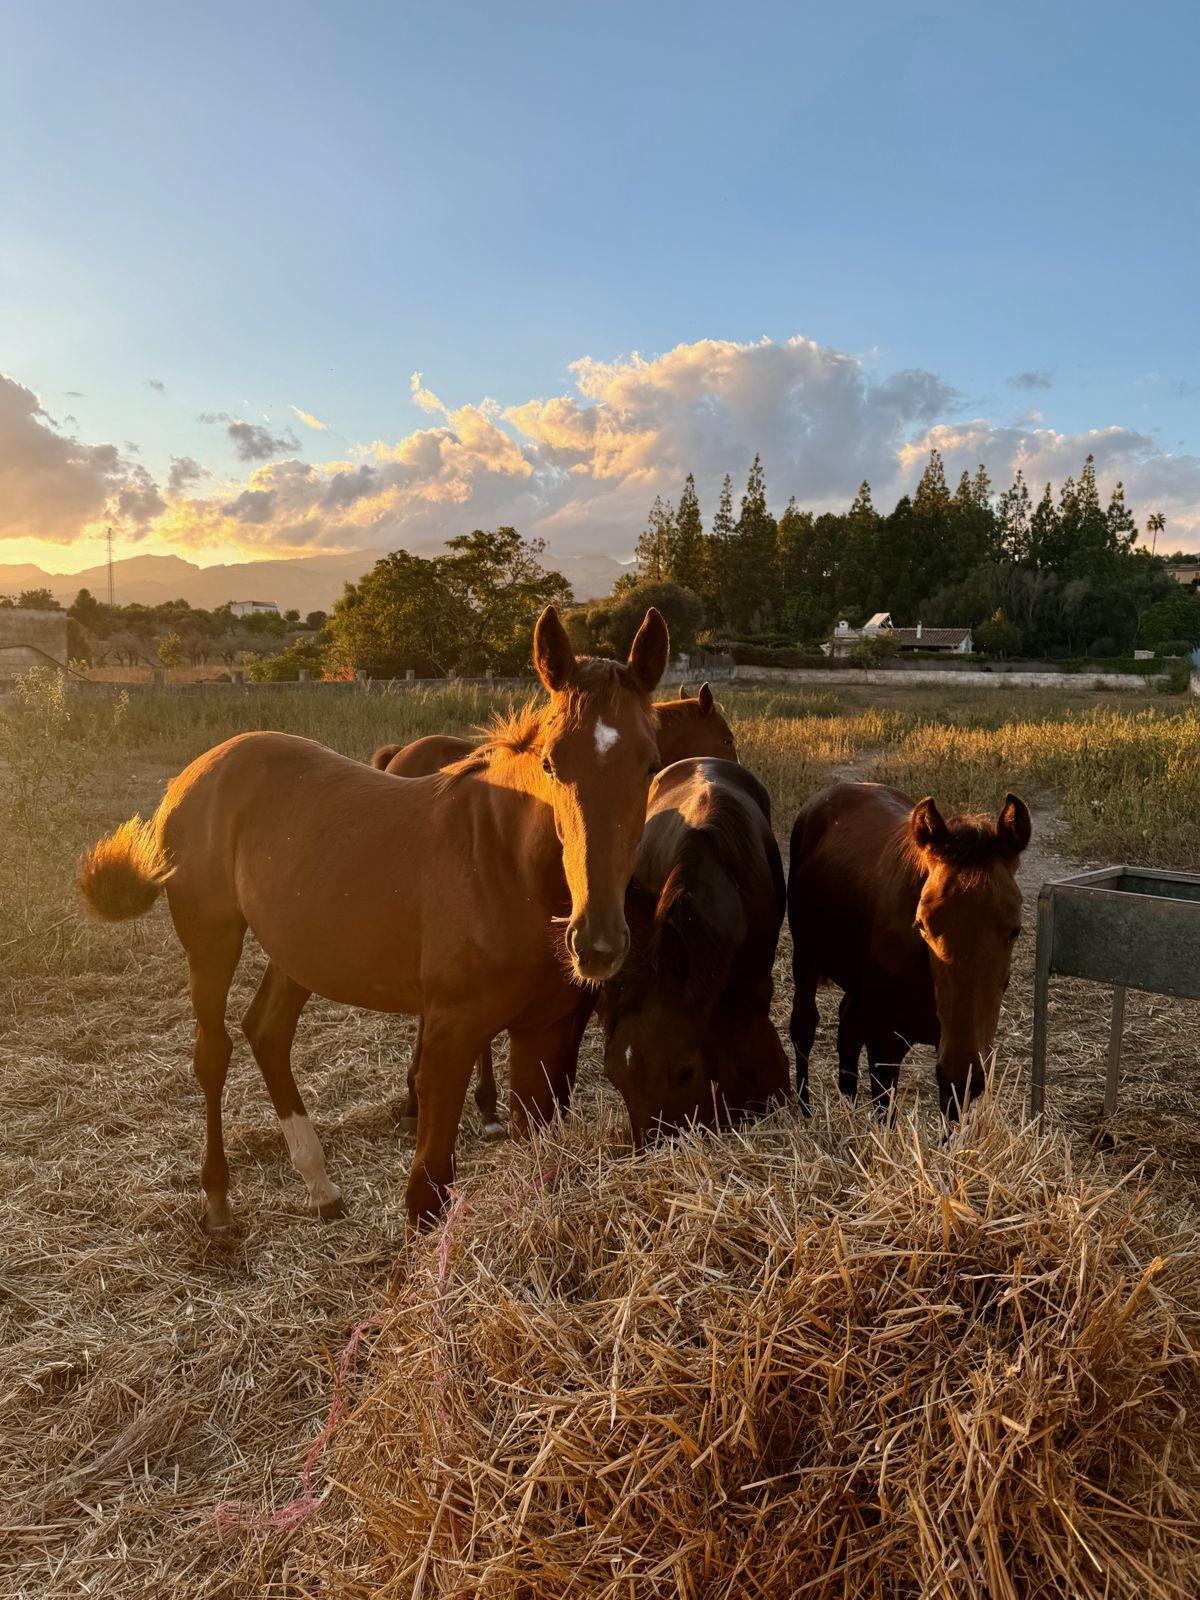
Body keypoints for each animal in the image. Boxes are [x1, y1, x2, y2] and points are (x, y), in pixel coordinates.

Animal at [78, 606, 670, 1230]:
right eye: (552, 763)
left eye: (652, 764)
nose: (597, 943)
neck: (507, 868)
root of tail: (198, 771)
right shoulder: (449, 1035)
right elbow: (426, 1194)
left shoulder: (546, 1035)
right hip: (212, 940)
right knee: (213, 1052)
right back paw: (217, 1200)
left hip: (300, 948)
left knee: (267, 1032)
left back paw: (319, 1185)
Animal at [787, 782, 1031, 1120]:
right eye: (922, 925)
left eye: (1015, 930)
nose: (962, 1071)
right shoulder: (885, 1046)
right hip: (806, 960)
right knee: (805, 1027)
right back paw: (807, 1109)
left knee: (847, 1030)